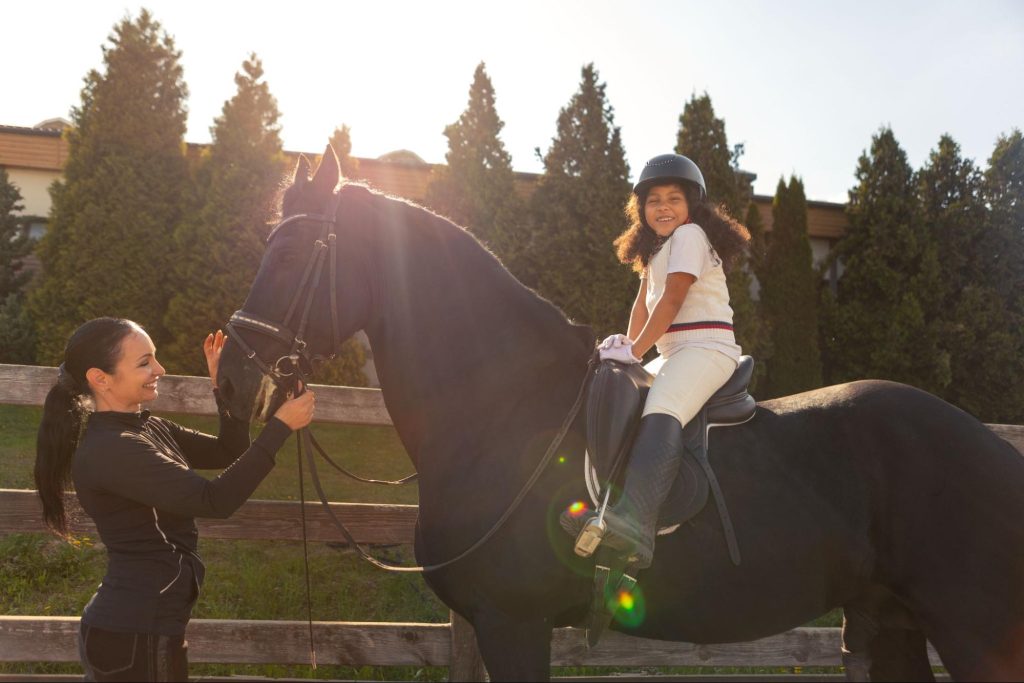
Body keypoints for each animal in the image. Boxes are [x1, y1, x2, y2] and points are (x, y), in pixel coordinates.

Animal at [216, 147, 1024, 679]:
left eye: (292, 256)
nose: (230, 381)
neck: (500, 408)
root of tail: (993, 449)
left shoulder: (513, 622)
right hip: (891, 622)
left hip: (973, 631)